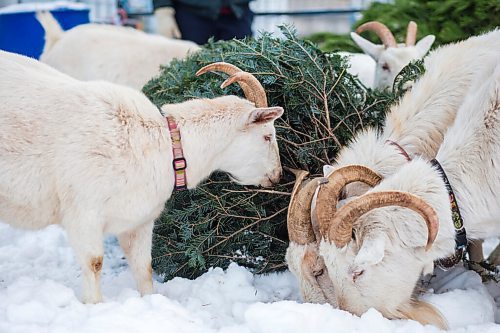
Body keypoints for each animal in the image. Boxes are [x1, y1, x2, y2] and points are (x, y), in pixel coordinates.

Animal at [0, 51, 284, 300]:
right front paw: (95, 305)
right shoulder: (83, 213)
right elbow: (94, 263)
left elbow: (144, 267)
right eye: (267, 135)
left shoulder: (139, 221)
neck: (162, 144)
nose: (277, 175)